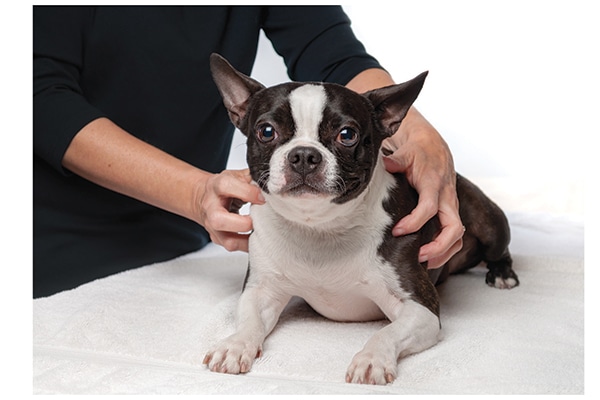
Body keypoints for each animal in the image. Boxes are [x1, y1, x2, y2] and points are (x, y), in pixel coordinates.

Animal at [204, 54, 516, 386]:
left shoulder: (420, 309)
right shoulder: (261, 290)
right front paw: (235, 345)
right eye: (266, 131)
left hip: (485, 219)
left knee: (499, 247)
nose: (303, 155)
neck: (319, 227)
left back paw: (502, 274)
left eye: (347, 135)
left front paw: (371, 359)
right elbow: (249, 320)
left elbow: (387, 332)